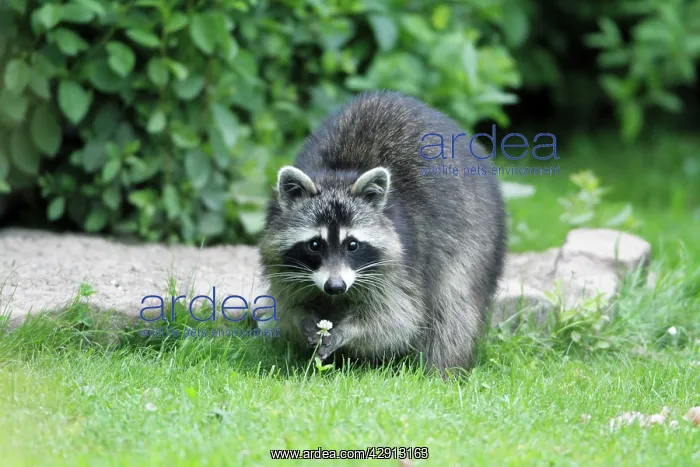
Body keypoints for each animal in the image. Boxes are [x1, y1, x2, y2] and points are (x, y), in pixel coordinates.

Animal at [259, 91, 507, 373]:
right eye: (314, 244)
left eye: (352, 245)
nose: (335, 287)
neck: (338, 174)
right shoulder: (282, 266)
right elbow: (287, 304)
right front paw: (304, 319)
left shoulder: (403, 264)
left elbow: (397, 319)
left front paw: (349, 331)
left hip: (476, 241)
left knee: (454, 308)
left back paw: (442, 369)